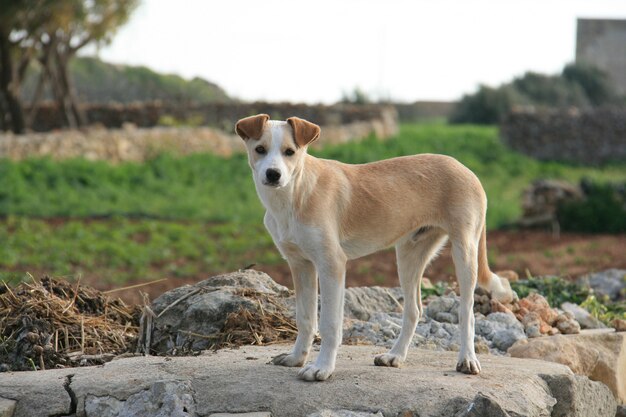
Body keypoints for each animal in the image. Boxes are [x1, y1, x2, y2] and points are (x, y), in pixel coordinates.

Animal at [234, 114, 512, 380]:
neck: (296, 192)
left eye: (289, 152)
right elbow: (305, 319)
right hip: (409, 256)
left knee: (467, 312)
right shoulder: (300, 265)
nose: (273, 174)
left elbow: (329, 325)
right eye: (260, 149)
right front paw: (296, 358)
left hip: (464, 252)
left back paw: (467, 359)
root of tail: (464, 167)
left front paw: (322, 368)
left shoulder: (332, 264)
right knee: (414, 311)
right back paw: (395, 356)